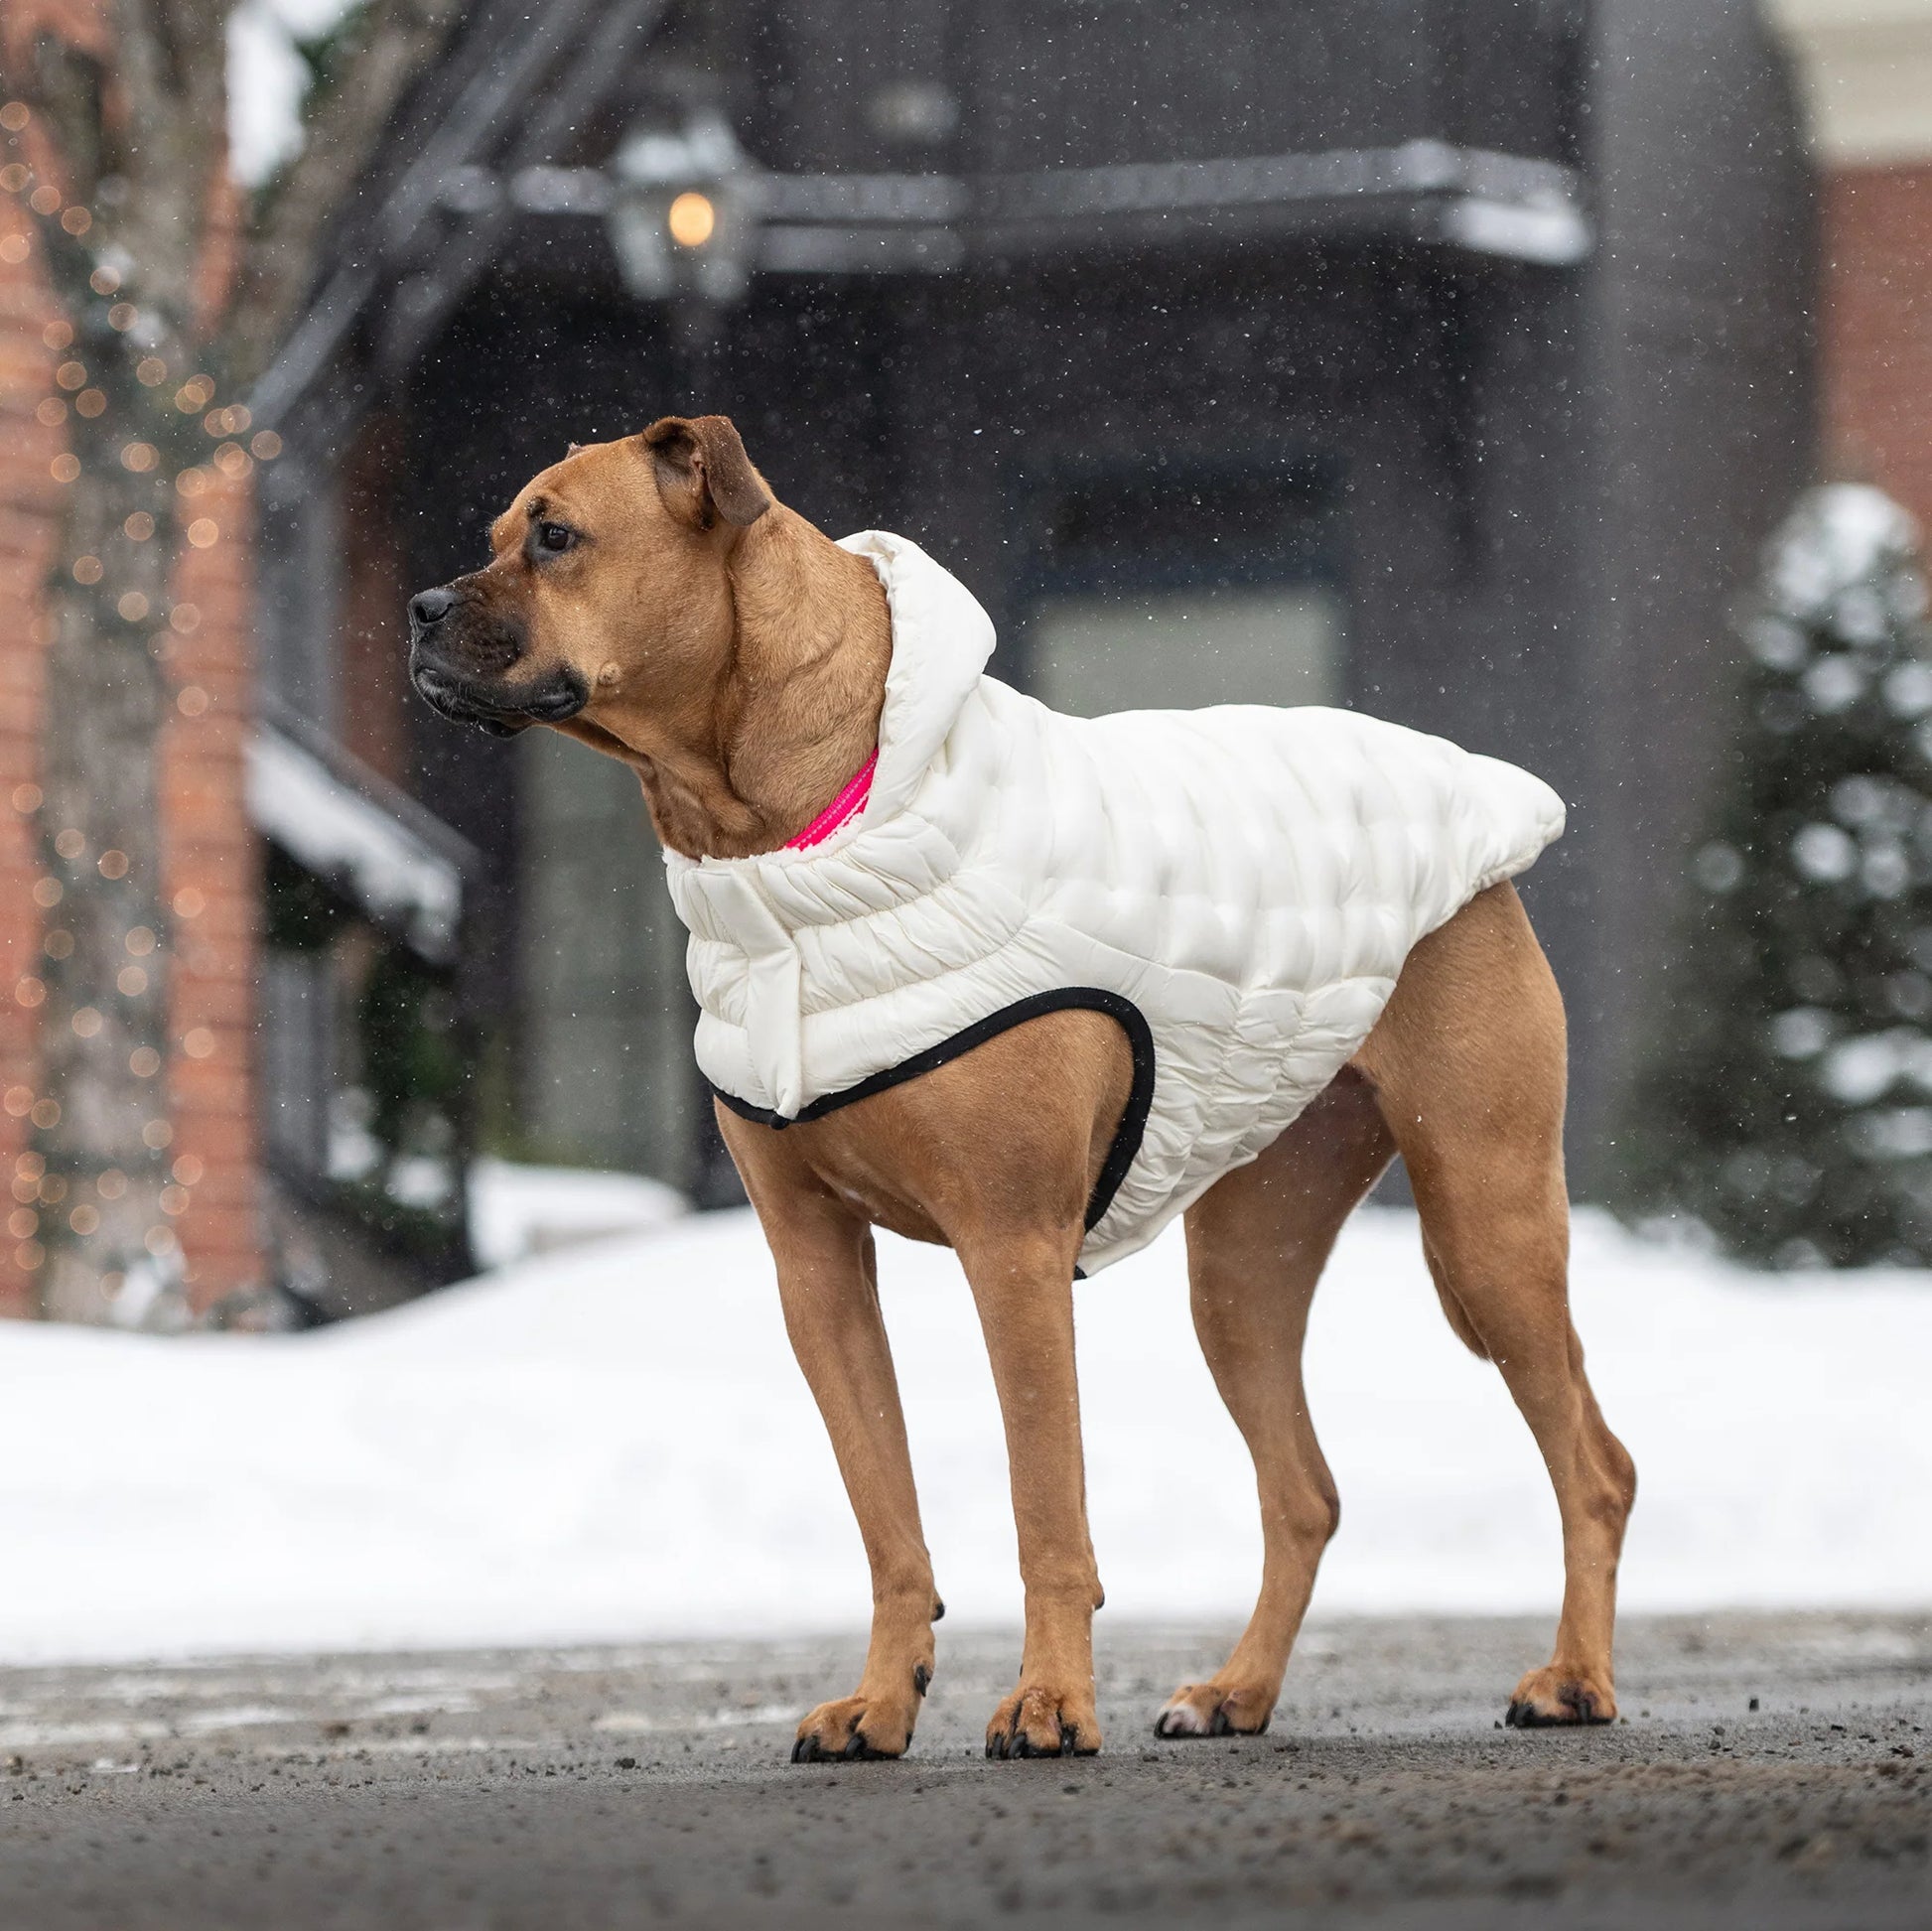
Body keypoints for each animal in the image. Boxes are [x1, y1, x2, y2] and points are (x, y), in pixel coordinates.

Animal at [407, 415, 1630, 1762]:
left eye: (556, 535)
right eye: (491, 536)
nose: (419, 609)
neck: (793, 847)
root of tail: (1470, 792)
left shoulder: (1013, 1247)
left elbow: (1044, 1502)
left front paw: (1048, 1702)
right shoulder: (815, 1269)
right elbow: (883, 1513)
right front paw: (881, 1701)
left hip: (1486, 1214)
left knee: (1591, 1462)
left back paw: (1571, 1678)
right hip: (1243, 1269)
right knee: (1302, 1490)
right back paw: (1237, 1689)